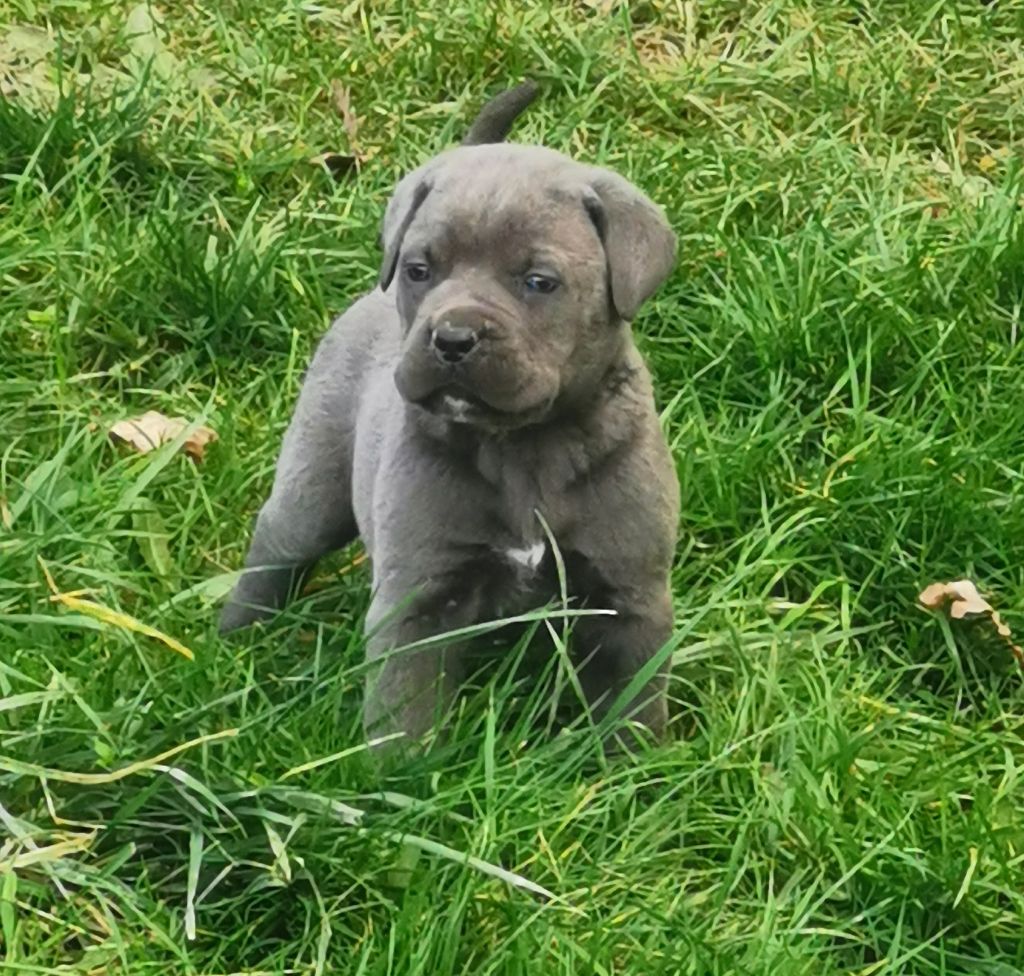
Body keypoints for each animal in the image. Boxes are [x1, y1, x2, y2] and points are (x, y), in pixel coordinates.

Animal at [220, 82, 681, 749]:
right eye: (420, 270)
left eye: (539, 281)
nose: (453, 337)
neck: (523, 447)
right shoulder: (419, 597)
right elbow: (404, 712)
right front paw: (401, 773)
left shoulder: (629, 598)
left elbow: (631, 706)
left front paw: (632, 767)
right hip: (312, 486)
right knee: (276, 550)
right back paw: (232, 640)